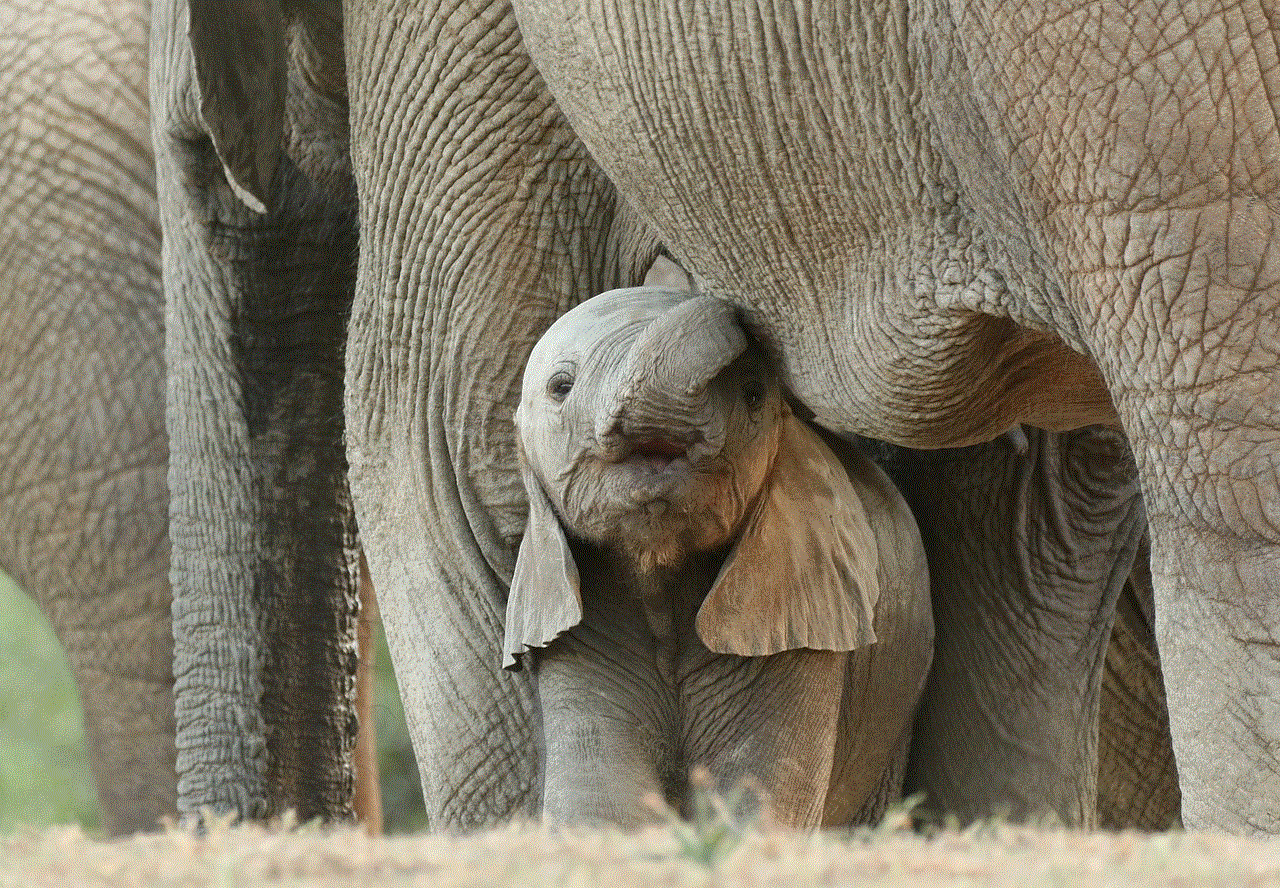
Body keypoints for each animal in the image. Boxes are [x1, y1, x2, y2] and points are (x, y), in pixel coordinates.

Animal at [504, 281, 936, 829]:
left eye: (753, 396)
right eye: (560, 388)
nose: (732, 305)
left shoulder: (803, 622)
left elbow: (757, 796)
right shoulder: (575, 632)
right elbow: (598, 803)